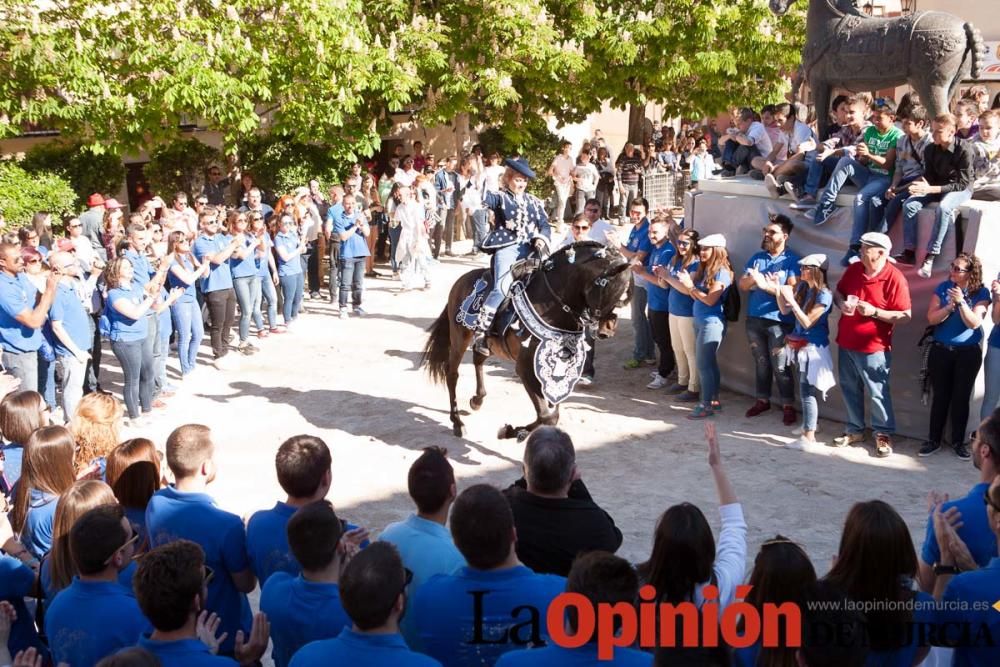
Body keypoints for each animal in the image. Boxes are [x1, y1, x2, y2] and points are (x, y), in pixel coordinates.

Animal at [418, 243, 628, 440]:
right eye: (611, 288)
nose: (608, 328)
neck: (553, 303)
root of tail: (461, 281)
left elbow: (551, 413)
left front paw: (516, 431)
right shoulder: (525, 367)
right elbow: (547, 415)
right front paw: (512, 431)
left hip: (489, 344)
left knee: (478, 358)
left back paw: (477, 400)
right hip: (459, 337)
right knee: (452, 374)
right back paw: (457, 423)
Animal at [772, 0, 984, 138]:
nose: (775, 5)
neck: (828, 23)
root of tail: (964, 26)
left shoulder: (819, 82)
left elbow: (823, 122)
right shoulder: (832, 85)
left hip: (929, 85)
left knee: (941, 120)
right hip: (950, 85)